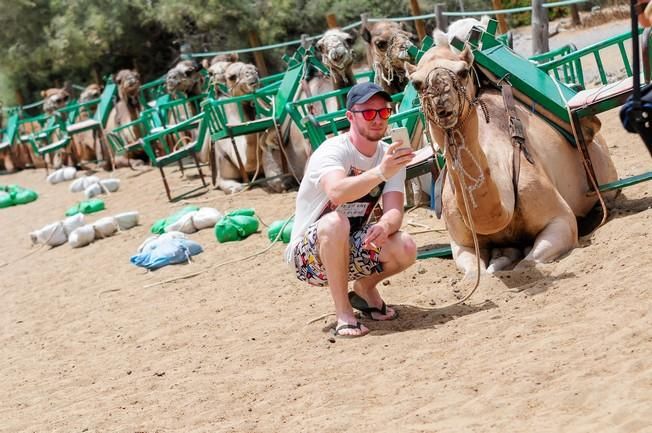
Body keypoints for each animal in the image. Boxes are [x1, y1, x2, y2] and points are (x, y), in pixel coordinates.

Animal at [408, 37, 616, 276]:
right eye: (416, 83)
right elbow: (475, 274)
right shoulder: (460, 244)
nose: (440, 95)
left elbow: (526, 263)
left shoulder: (561, 219)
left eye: (463, 72)